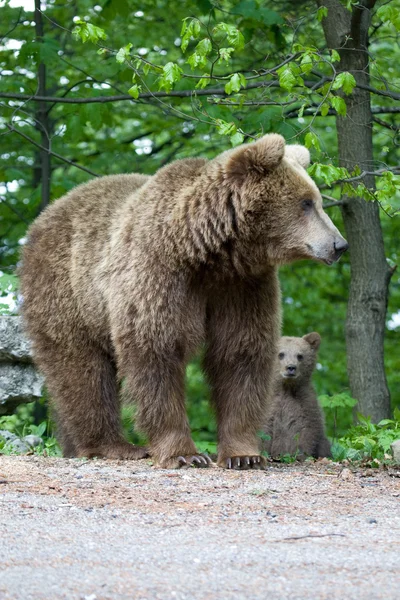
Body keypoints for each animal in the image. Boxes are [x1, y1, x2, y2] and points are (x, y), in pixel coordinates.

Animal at [20, 135, 346, 468]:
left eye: (316, 200)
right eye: (306, 202)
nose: (339, 244)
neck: (207, 250)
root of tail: (45, 215)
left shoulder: (241, 285)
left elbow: (240, 353)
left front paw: (243, 454)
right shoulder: (158, 273)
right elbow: (157, 353)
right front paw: (184, 453)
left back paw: (74, 444)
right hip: (68, 290)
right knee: (82, 367)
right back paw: (112, 445)